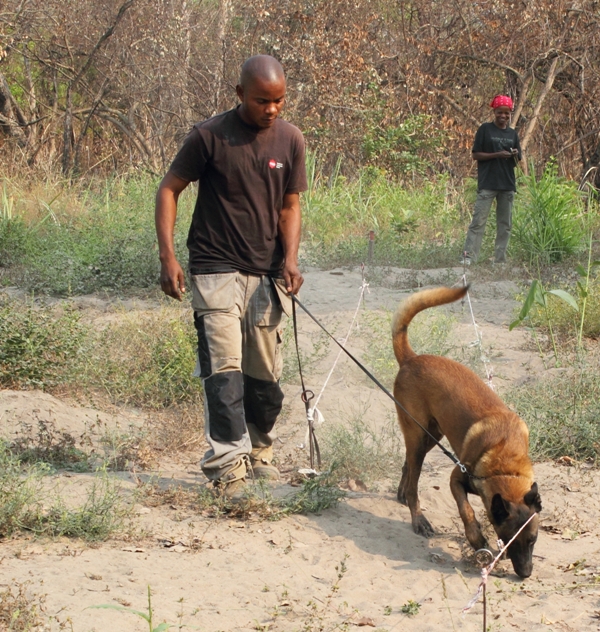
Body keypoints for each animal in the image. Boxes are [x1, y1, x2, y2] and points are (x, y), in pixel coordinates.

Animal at [392, 286, 540, 576]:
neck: (506, 462)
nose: (526, 574)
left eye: (533, 540)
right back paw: (418, 517)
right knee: (415, 481)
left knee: (408, 466)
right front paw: (476, 539)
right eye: (506, 539)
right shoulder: (456, 479)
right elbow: (466, 511)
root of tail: (412, 359)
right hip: (418, 435)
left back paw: (402, 493)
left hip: (432, 435)